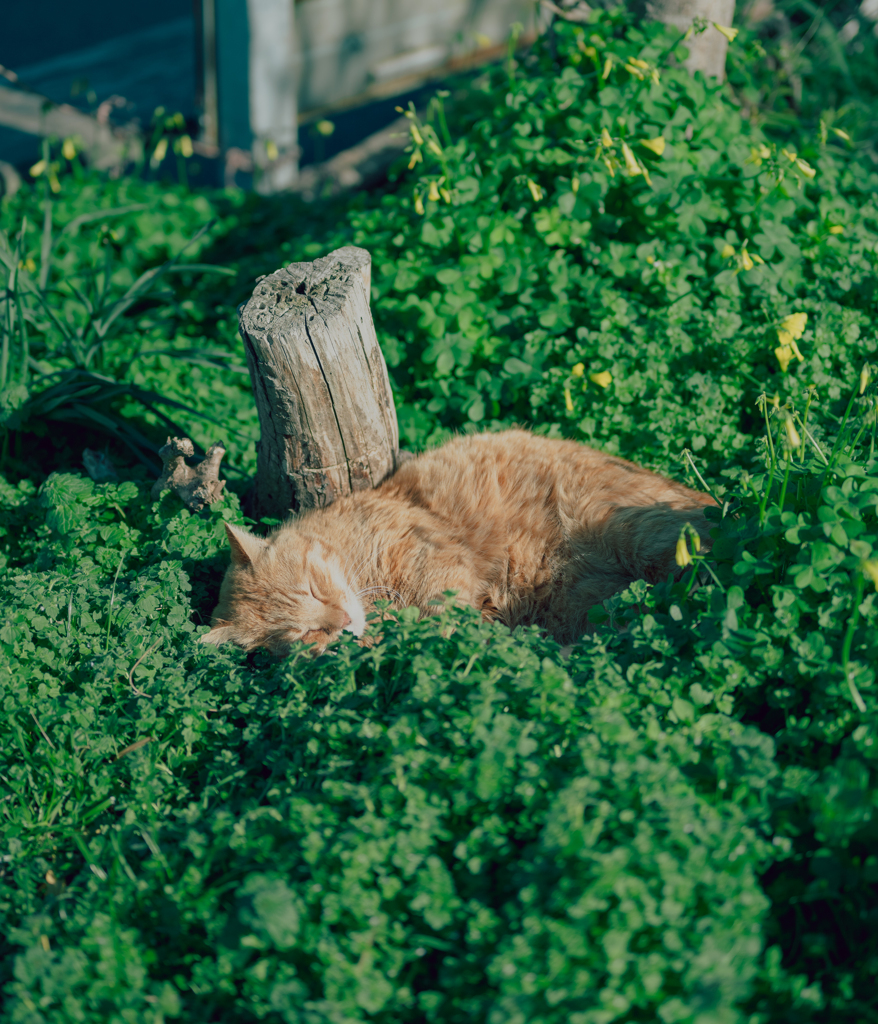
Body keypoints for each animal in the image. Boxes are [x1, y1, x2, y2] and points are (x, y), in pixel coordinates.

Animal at [201, 428, 717, 651]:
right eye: (304, 633)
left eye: (312, 586)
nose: (341, 621)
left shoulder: (434, 566)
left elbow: (443, 618)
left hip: (629, 529)